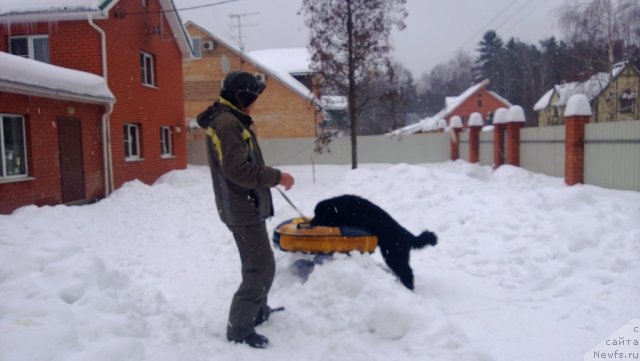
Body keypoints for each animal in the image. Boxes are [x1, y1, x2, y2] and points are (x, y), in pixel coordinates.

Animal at [312, 194, 440, 290]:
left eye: (318, 215)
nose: (311, 223)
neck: (339, 209)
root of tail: (407, 235)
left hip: (393, 255)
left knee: (407, 272)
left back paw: (409, 288)